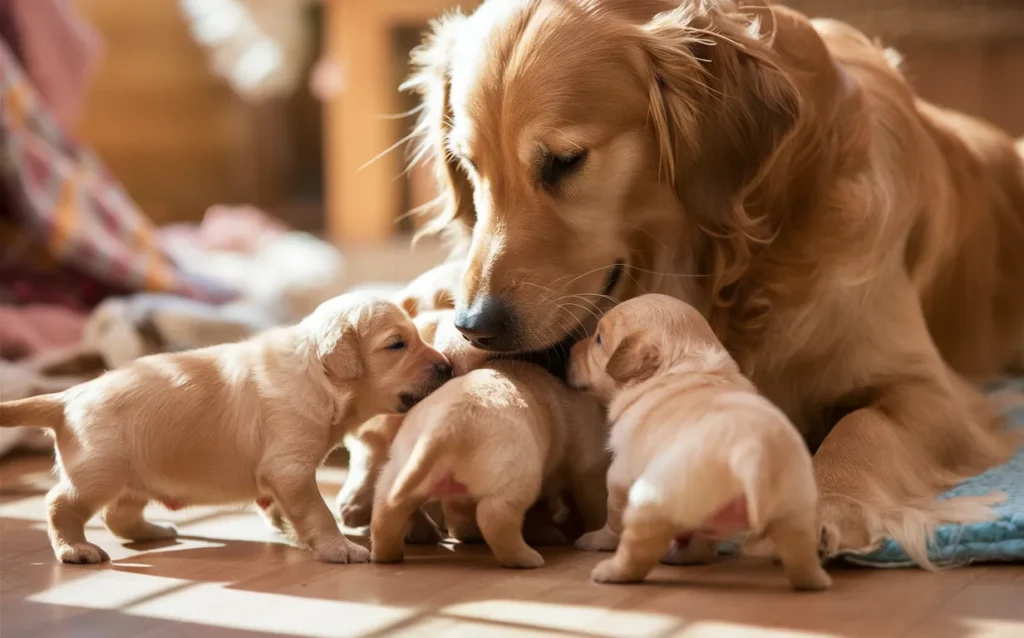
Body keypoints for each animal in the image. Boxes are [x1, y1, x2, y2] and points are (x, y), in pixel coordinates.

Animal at [0, 292, 450, 565]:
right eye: (397, 344)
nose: (447, 367)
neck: (317, 376)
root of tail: (67, 397)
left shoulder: (281, 474)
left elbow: (284, 507)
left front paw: (289, 531)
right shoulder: (289, 465)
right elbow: (317, 511)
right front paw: (340, 547)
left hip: (133, 476)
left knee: (119, 516)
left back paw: (152, 531)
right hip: (99, 471)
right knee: (60, 503)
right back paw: (74, 548)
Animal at [372, 360, 606, 569]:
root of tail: (445, 425)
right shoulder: (587, 464)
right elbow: (592, 499)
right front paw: (593, 529)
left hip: (398, 468)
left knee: (387, 510)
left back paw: (386, 554)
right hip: (518, 475)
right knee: (495, 518)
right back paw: (526, 558)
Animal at [405, 0, 1024, 557]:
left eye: (565, 161)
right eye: (469, 165)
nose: (474, 326)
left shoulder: (932, 392)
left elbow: (861, 427)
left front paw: (825, 502)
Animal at [569, 294, 831, 593]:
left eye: (599, 339)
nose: (569, 350)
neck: (682, 362)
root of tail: (750, 450)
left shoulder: (619, 476)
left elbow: (612, 521)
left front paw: (596, 539)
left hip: (651, 498)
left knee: (637, 550)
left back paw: (611, 571)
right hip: (795, 510)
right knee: (797, 554)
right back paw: (815, 581)